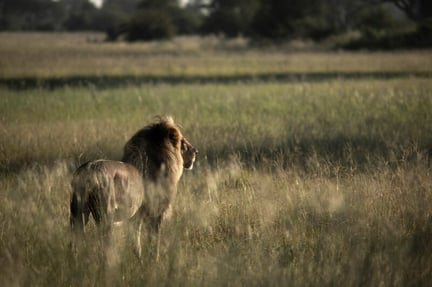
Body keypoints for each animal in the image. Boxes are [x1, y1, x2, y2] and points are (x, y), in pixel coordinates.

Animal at [70, 116, 197, 260]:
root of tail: (89, 169)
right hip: (106, 215)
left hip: (78, 214)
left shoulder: (135, 217)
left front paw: (139, 259)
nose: (196, 151)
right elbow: (154, 241)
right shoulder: (156, 211)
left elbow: (136, 240)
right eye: (183, 142)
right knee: (104, 245)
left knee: (73, 242)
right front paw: (155, 261)